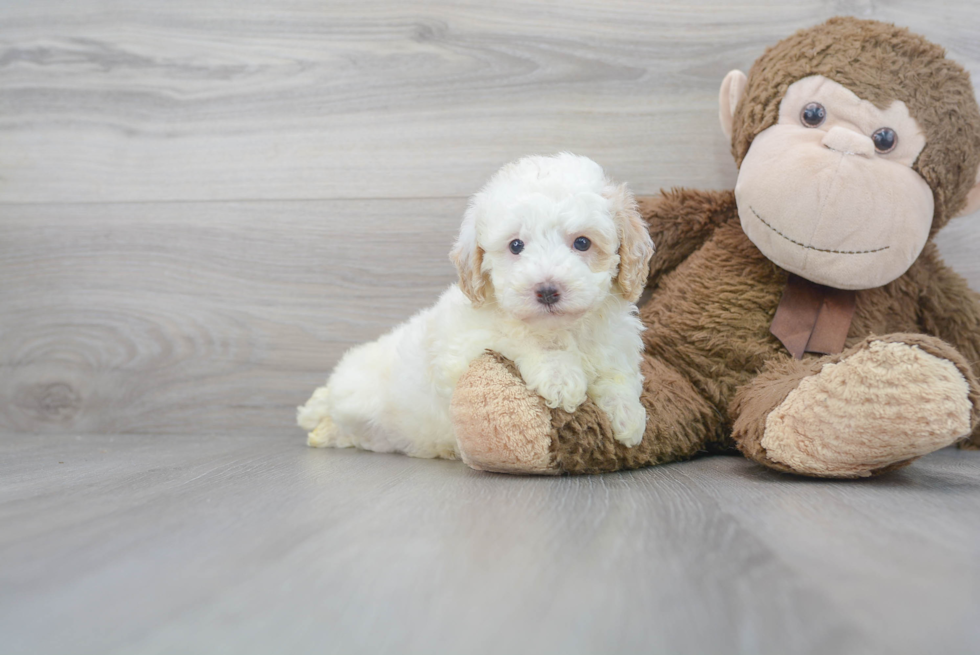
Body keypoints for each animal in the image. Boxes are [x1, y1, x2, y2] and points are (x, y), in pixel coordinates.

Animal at [294, 154, 656, 462]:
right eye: (515, 246)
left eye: (582, 242)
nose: (547, 291)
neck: (564, 329)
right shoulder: (464, 346)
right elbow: (520, 338)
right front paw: (560, 376)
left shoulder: (615, 346)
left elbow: (620, 376)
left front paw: (629, 417)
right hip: (358, 395)